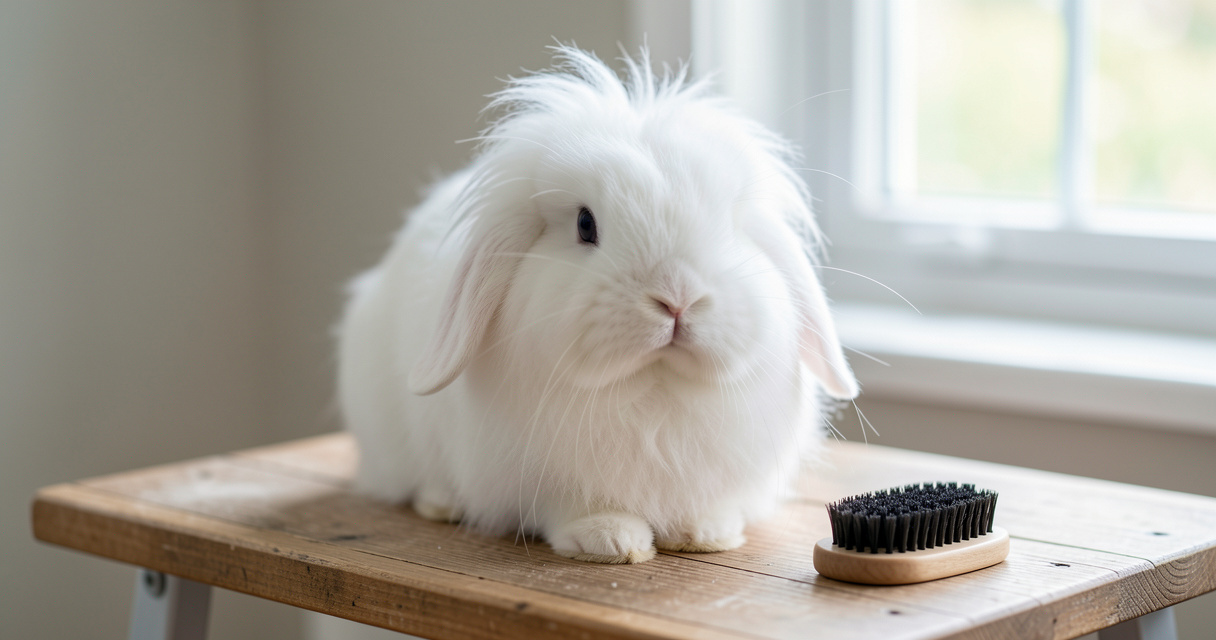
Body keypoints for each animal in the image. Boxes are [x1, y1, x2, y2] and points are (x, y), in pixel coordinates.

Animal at [336, 45, 858, 564]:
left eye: (730, 226)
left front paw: (706, 533)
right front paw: (611, 541)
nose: (677, 299)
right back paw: (442, 504)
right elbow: (575, 509)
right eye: (586, 225)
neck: (652, 390)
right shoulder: (545, 479)